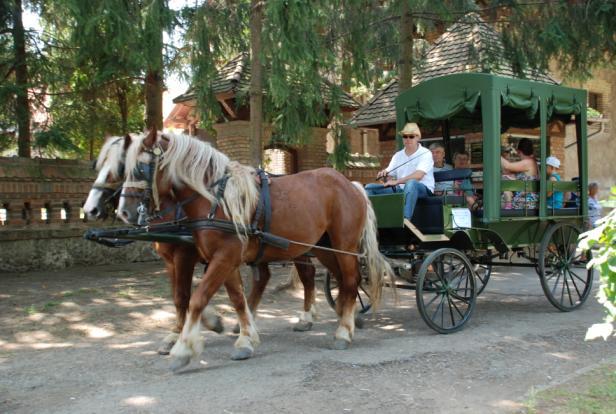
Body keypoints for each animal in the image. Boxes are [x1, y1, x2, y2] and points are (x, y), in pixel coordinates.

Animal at [118, 130, 392, 372]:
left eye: (140, 168)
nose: (124, 212)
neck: (215, 198)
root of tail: (352, 184)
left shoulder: (220, 257)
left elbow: (196, 298)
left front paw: (183, 349)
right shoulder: (224, 259)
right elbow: (237, 299)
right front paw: (245, 339)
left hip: (344, 246)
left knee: (350, 280)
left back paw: (343, 331)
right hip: (323, 246)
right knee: (339, 281)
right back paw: (346, 317)